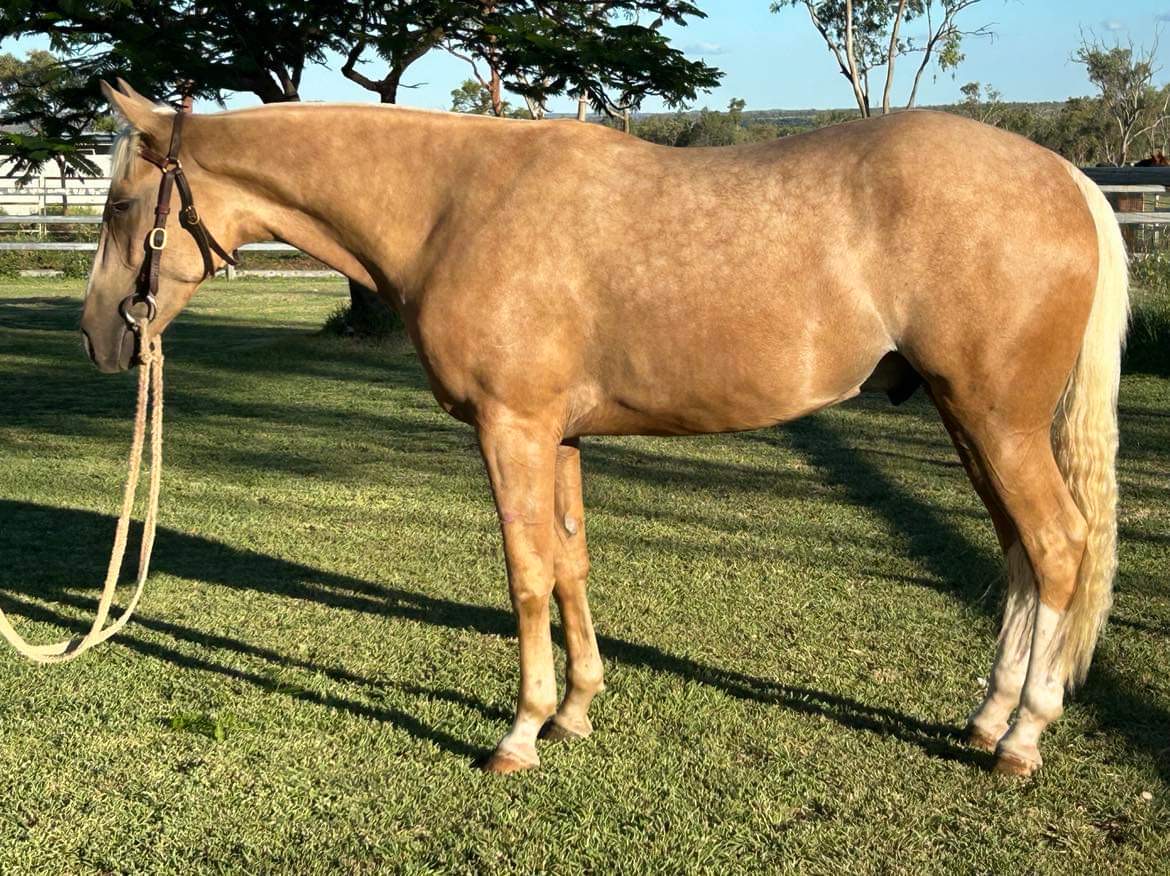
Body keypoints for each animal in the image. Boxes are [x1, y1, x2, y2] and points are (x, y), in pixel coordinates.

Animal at [83, 80, 1128, 777]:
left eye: (122, 205)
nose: (100, 336)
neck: (454, 205)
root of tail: (1066, 176)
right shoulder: (560, 436)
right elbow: (572, 563)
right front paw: (577, 711)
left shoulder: (511, 430)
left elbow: (526, 575)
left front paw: (521, 732)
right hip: (971, 420)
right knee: (1021, 555)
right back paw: (989, 718)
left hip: (996, 420)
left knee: (1057, 545)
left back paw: (1022, 738)